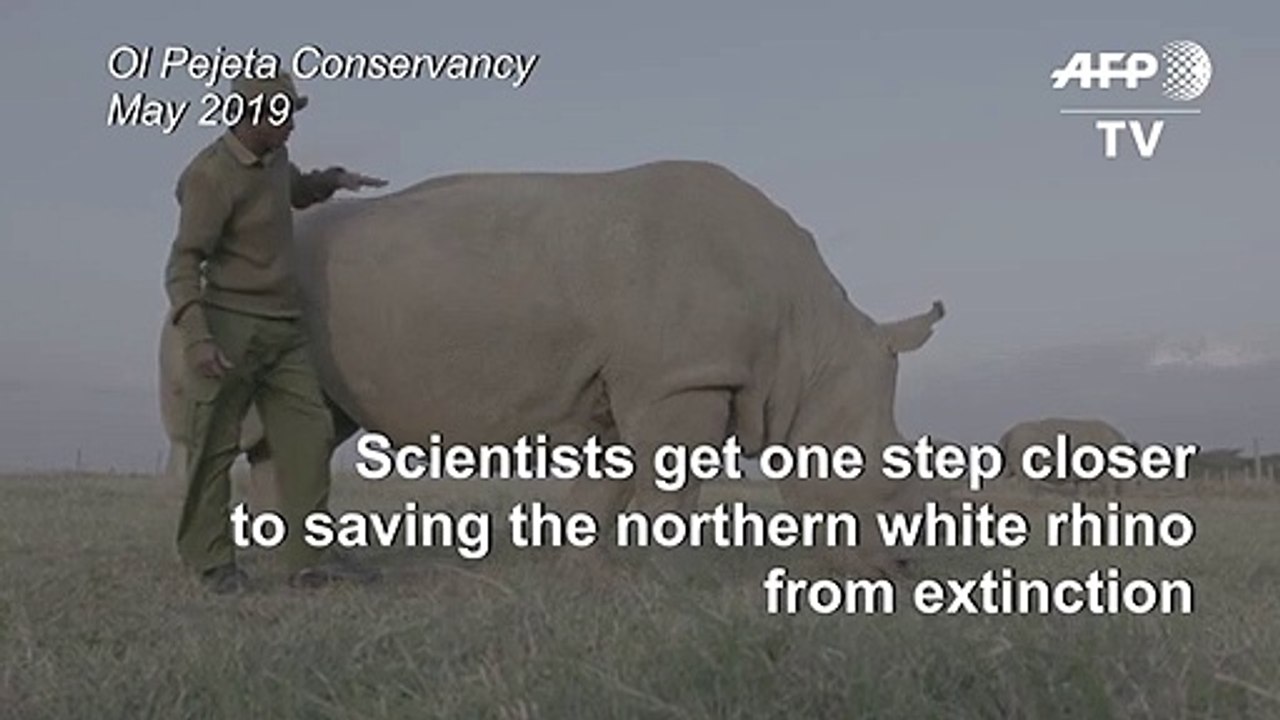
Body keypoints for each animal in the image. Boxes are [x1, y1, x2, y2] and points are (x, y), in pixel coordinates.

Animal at [159, 160, 946, 576]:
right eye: (886, 479)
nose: (904, 570)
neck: (809, 344)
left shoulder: (629, 383)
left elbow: (608, 482)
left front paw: (582, 570)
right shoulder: (683, 376)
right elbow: (671, 483)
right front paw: (661, 574)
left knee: (303, 427)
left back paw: (299, 564)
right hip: (210, 303)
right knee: (229, 424)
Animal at [998, 417, 1129, 498]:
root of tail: (1008, 433)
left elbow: (1083, 487)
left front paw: (1081, 500)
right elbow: (1109, 483)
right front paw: (1111, 499)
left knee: (1006, 475)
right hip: (1021, 448)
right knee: (1022, 479)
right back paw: (1023, 498)